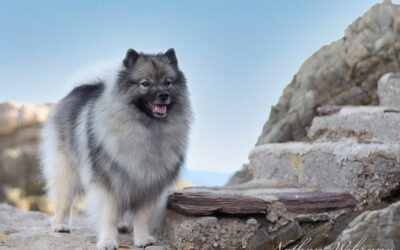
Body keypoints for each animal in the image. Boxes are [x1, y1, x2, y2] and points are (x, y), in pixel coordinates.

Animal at [40, 47, 192, 249]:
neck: (147, 131)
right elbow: (108, 215)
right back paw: (60, 225)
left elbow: (142, 217)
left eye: (168, 82)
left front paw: (142, 239)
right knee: (64, 200)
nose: (164, 95)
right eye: (145, 83)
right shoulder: (107, 184)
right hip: (66, 170)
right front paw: (108, 241)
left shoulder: (149, 187)